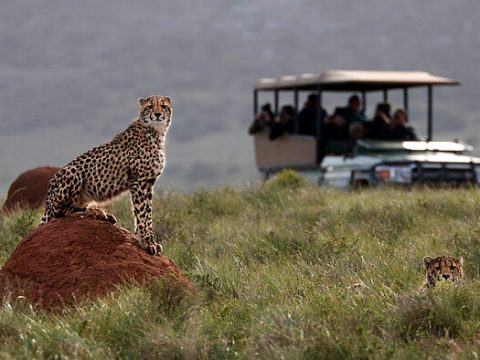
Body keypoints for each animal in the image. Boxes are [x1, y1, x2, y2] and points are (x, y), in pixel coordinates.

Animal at [41, 94, 172, 255]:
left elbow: (146, 213)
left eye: (164, 106)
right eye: (150, 107)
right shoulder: (139, 182)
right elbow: (143, 213)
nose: (158, 114)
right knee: (61, 213)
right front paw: (147, 242)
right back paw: (95, 212)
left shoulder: (148, 182)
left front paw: (144, 237)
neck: (155, 132)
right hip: (73, 172)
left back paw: (101, 214)